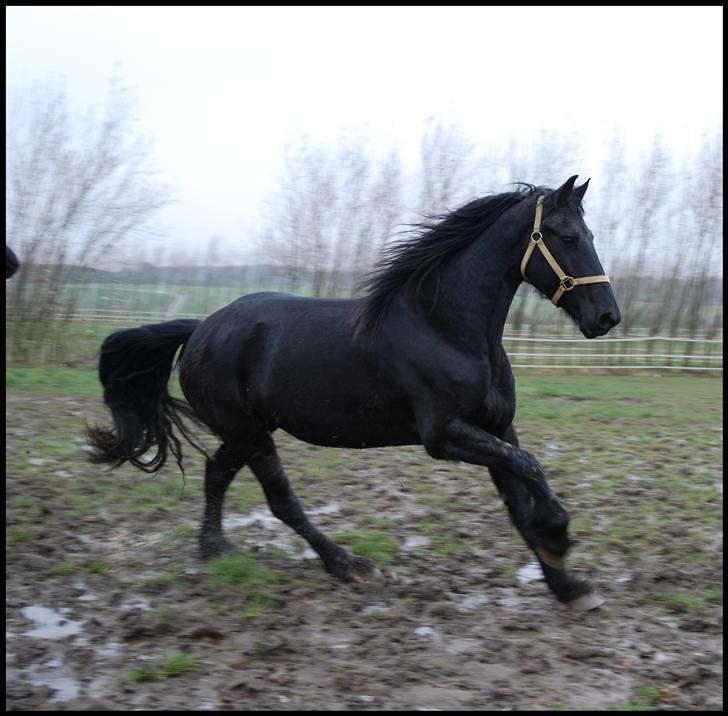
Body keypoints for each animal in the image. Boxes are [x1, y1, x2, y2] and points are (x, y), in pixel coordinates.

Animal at [85, 178, 620, 608]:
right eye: (568, 237)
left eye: (590, 236)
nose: (607, 317)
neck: (444, 328)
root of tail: (199, 329)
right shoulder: (445, 436)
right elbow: (531, 469)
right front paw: (558, 534)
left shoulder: (496, 429)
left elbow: (520, 495)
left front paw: (569, 586)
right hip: (249, 433)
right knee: (280, 500)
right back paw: (347, 565)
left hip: (246, 432)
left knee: (216, 474)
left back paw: (214, 548)